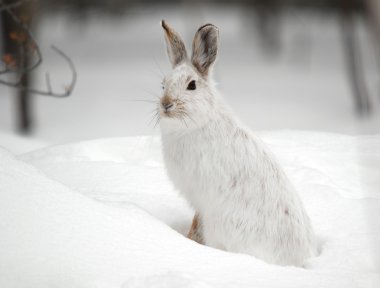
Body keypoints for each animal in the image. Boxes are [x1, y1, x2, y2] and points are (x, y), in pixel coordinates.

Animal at [158, 20, 318, 268]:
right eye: (163, 84)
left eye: (192, 85)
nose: (166, 105)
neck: (197, 123)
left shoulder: (201, 198)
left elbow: (196, 222)